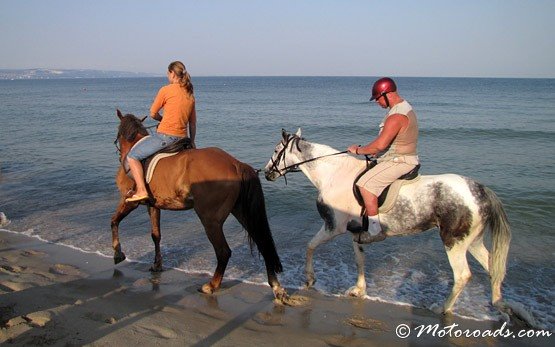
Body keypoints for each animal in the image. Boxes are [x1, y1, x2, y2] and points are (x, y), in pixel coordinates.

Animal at [111, 110, 288, 304]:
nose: (118, 152)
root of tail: (235, 164)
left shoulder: (130, 201)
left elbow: (114, 221)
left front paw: (118, 253)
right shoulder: (153, 205)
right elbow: (155, 235)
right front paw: (157, 264)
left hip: (210, 220)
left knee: (223, 251)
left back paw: (211, 285)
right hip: (242, 212)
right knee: (262, 244)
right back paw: (276, 287)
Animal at [264, 130, 512, 316]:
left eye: (276, 151)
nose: (267, 172)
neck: (334, 175)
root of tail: (480, 190)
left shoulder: (333, 227)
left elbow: (310, 246)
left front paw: (309, 279)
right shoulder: (356, 232)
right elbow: (359, 260)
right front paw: (359, 290)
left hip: (454, 242)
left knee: (462, 276)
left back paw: (443, 308)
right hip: (473, 241)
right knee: (493, 266)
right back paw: (500, 305)